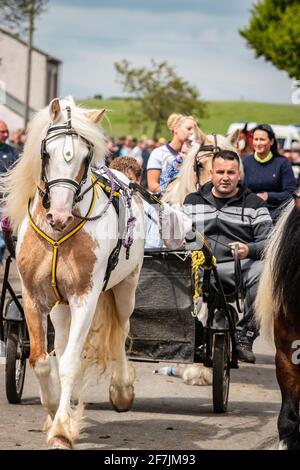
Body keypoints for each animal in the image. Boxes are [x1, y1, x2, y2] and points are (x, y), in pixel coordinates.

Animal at [0, 97, 145, 450]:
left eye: (85, 157)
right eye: (47, 153)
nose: (60, 215)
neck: (58, 235)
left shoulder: (84, 299)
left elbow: (69, 363)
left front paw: (62, 430)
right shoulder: (33, 299)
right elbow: (41, 360)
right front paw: (53, 409)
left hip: (125, 289)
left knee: (121, 330)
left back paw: (122, 389)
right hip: (59, 306)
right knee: (63, 340)